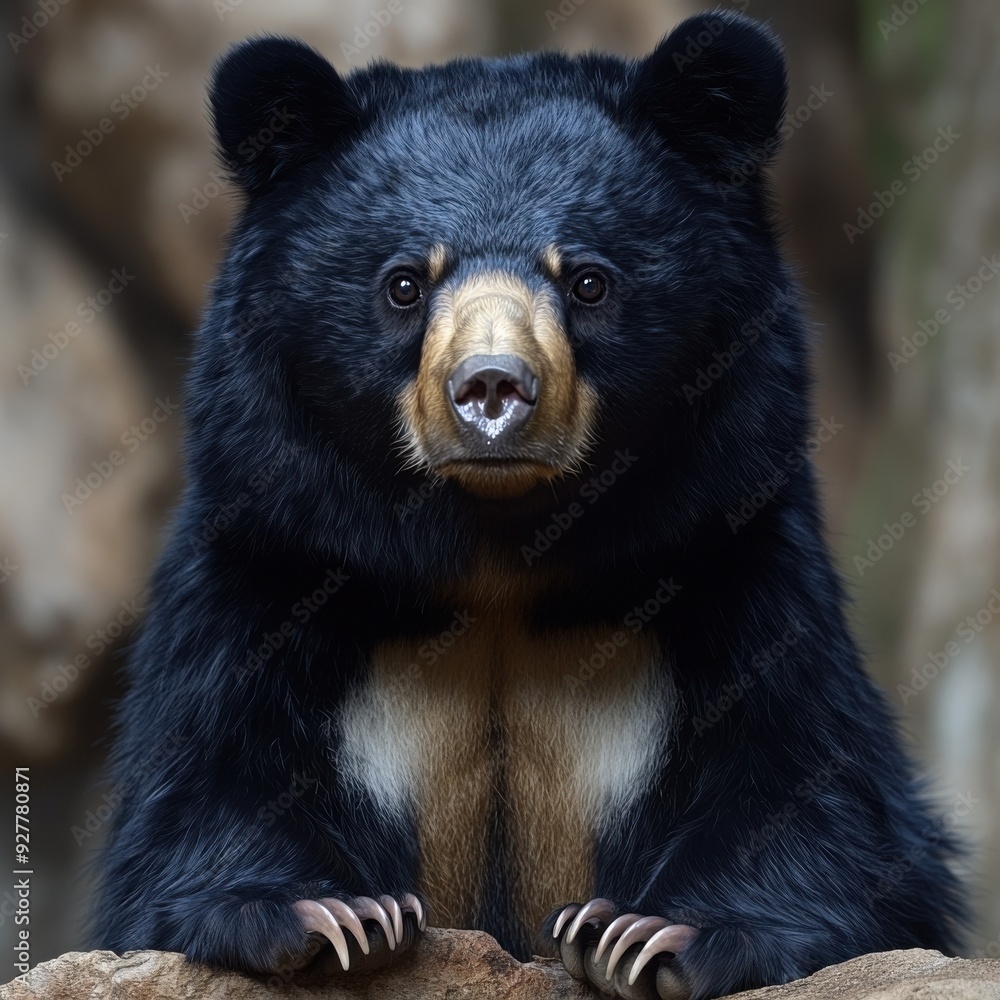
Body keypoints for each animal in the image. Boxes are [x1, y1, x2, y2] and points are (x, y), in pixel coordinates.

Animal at [93, 11, 966, 1000]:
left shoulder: (734, 546)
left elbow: (810, 788)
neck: (496, 554)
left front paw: (645, 935)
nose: (493, 388)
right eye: (405, 283)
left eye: (587, 280)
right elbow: (207, 781)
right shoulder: (271, 549)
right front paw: (333, 917)